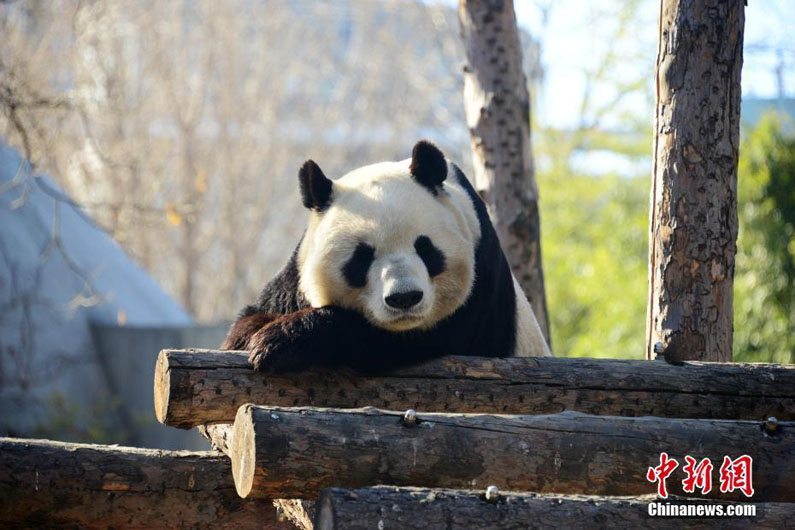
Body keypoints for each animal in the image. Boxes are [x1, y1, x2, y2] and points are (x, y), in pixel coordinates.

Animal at [221, 140, 552, 372]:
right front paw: (252, 334)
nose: (404, 298)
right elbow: (263, 308)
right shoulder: (297, 271)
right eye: (362, 257)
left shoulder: (479, 288)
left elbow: (382, 339)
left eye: (425, 248)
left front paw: (278, 340)